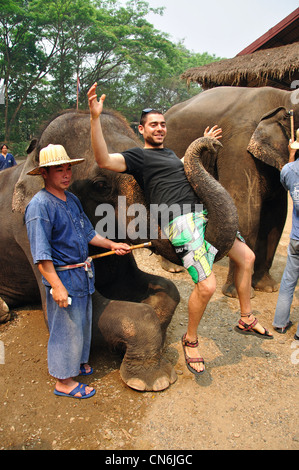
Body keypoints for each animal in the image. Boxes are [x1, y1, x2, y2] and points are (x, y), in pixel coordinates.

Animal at [164, 86, 299, 296]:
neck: (283, 96)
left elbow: (276, 216)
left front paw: (267, 287)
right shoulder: (238, 145)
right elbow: (246, 211)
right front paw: (236, 293)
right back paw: (173, 268)